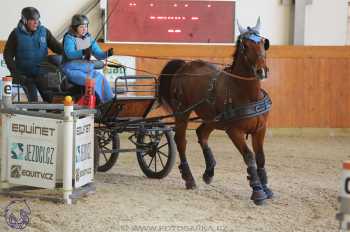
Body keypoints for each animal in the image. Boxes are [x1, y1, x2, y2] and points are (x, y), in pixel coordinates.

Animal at [159, 18, 274, 205]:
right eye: (245, 46)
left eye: (264, 43)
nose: (261, 70)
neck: (246, 94)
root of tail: (185, 65)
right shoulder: (234, 131)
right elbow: (249, 156)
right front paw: (257, 191)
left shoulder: (260, 129)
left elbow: (260, 157)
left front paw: (266, 188)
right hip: (182, 112)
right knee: (181, 141)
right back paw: (189, 178)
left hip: (213, 118)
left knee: (202, 133)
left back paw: (209, 172)